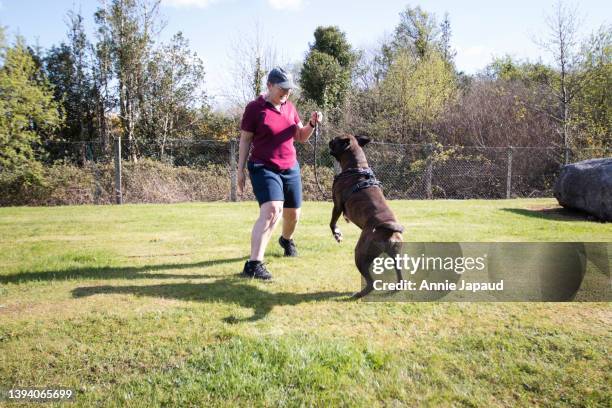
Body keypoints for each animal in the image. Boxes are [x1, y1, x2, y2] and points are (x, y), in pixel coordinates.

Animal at [328, 135, 404, 298]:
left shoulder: (337, 205)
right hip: (397, 256)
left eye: (335, 140)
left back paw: (359, 294)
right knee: (400, 275)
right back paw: (395, 289)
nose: (330, 140)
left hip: (360, 254)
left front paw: (337, 234)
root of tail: (389, 230)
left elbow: (332, 222)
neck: (357, 166)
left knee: (371, 282)